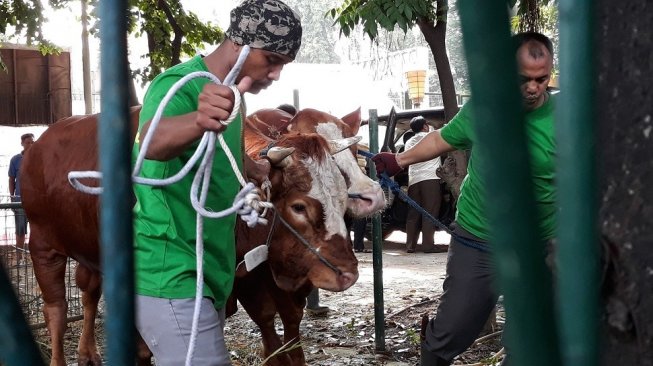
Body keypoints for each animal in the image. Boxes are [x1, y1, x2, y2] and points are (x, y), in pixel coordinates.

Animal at [20, 106, 360, 366]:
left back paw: (87, 353)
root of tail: (40, 143)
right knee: (56, 311)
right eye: (298, 206)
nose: (349, 272)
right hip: (42, 244)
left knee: (89, 294)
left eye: (344, 195)